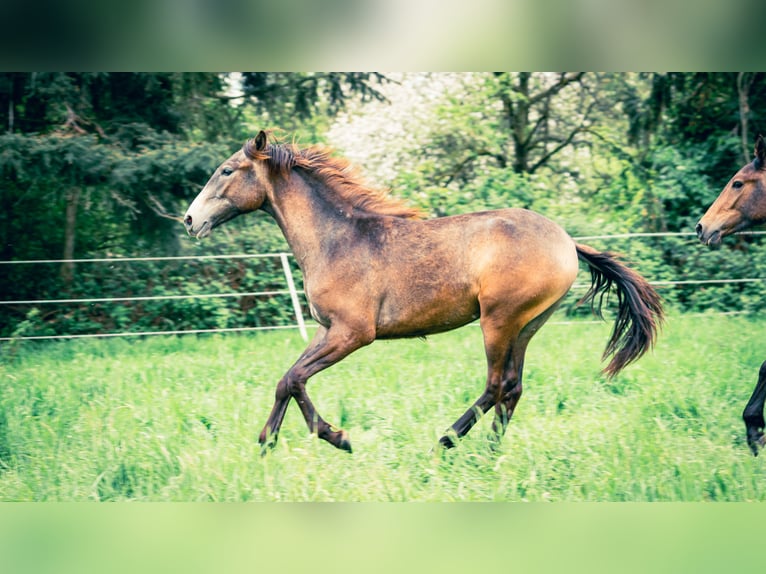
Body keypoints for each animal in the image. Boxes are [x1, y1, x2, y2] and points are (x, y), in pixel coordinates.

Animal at [184, 130, 664, 454]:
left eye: (226, 171)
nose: (189, 220)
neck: (337, 239)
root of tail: (567, 241)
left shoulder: (354, 333)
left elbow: (297, 378)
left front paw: (338, 437)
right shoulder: (327, 330)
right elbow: (286, 379)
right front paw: (266, 442)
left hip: (498, 321)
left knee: (495, 385)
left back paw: (444, 444)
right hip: (527, 326)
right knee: (512, 388)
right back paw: (490, 453)